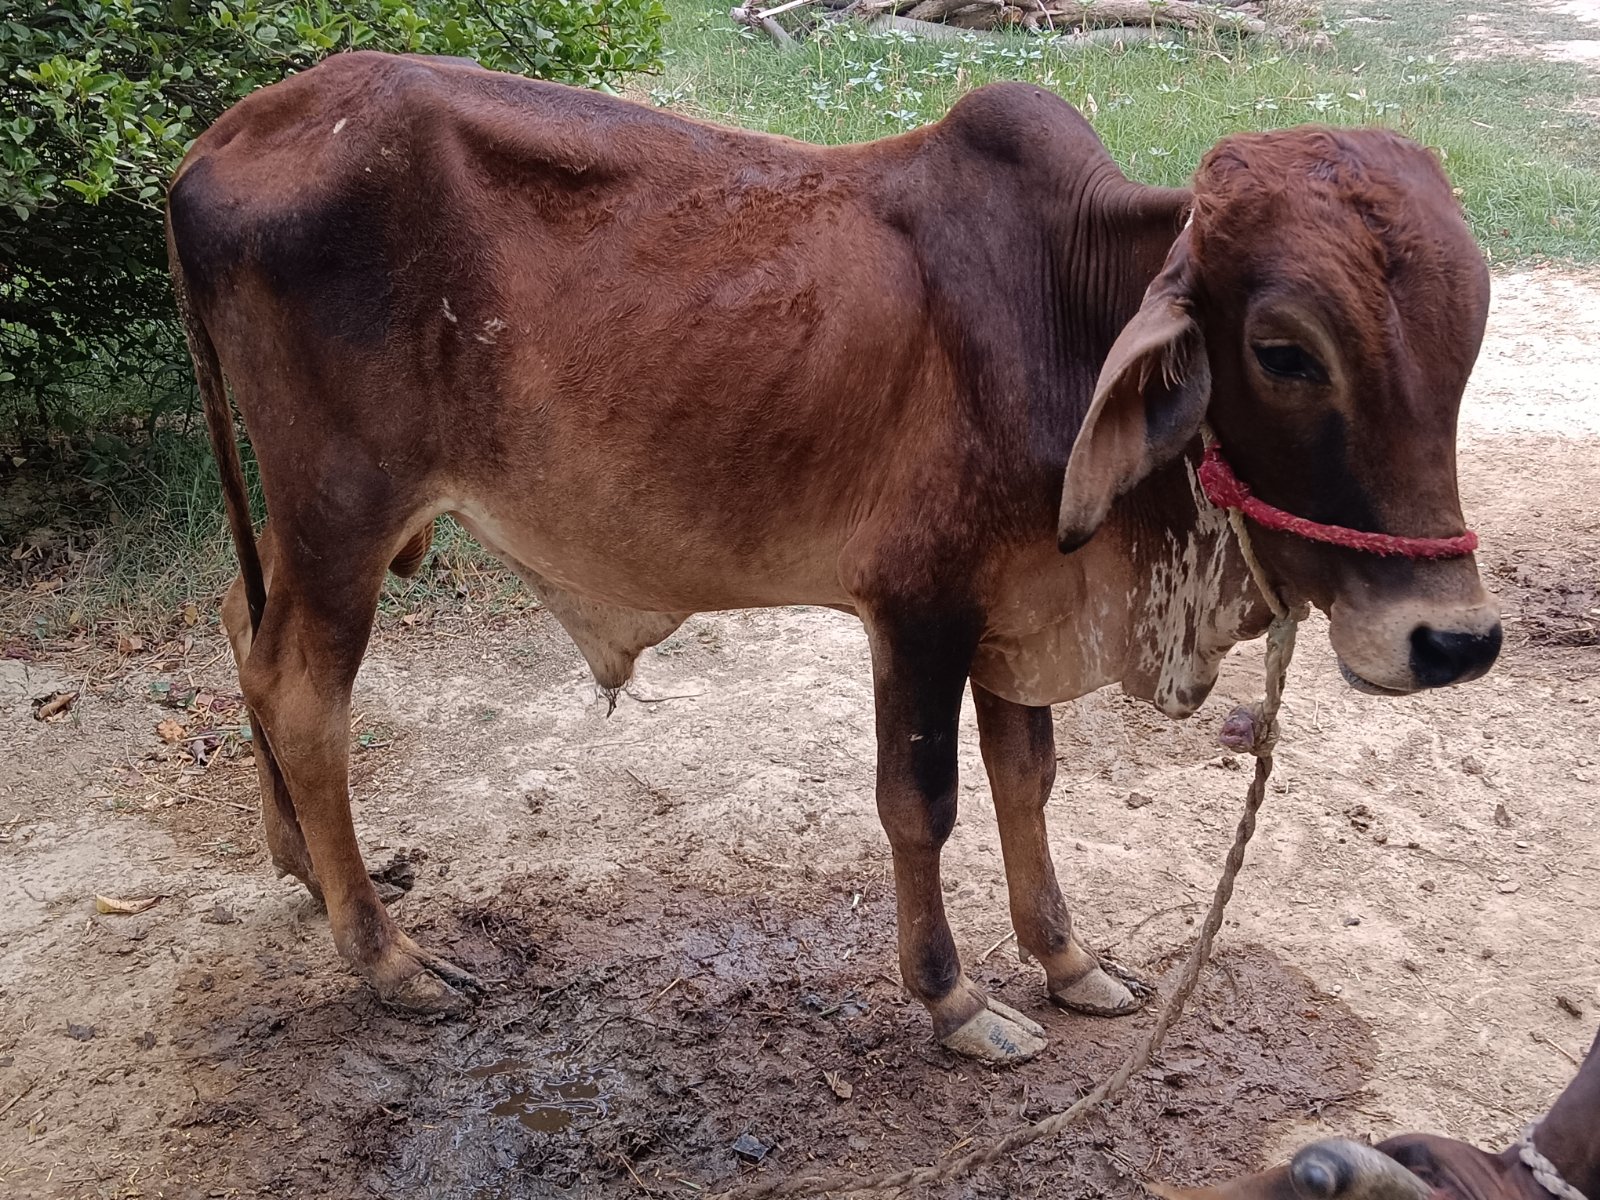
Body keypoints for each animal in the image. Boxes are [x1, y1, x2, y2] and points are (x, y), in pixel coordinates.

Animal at [166, 50, 1502, 1064]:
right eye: (1283, 351)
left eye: (1470, 333)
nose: (1453, 640)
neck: (1055, 310)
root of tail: (215, 146)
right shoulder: (915, 606)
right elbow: (923, 802)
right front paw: (956, 1001)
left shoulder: (1015, 606)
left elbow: (1027, 778)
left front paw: (1067, 960)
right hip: (343, 505)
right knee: (302, 691)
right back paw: (387, 958)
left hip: (324, 520)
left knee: (241, 627)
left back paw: (309, 871)